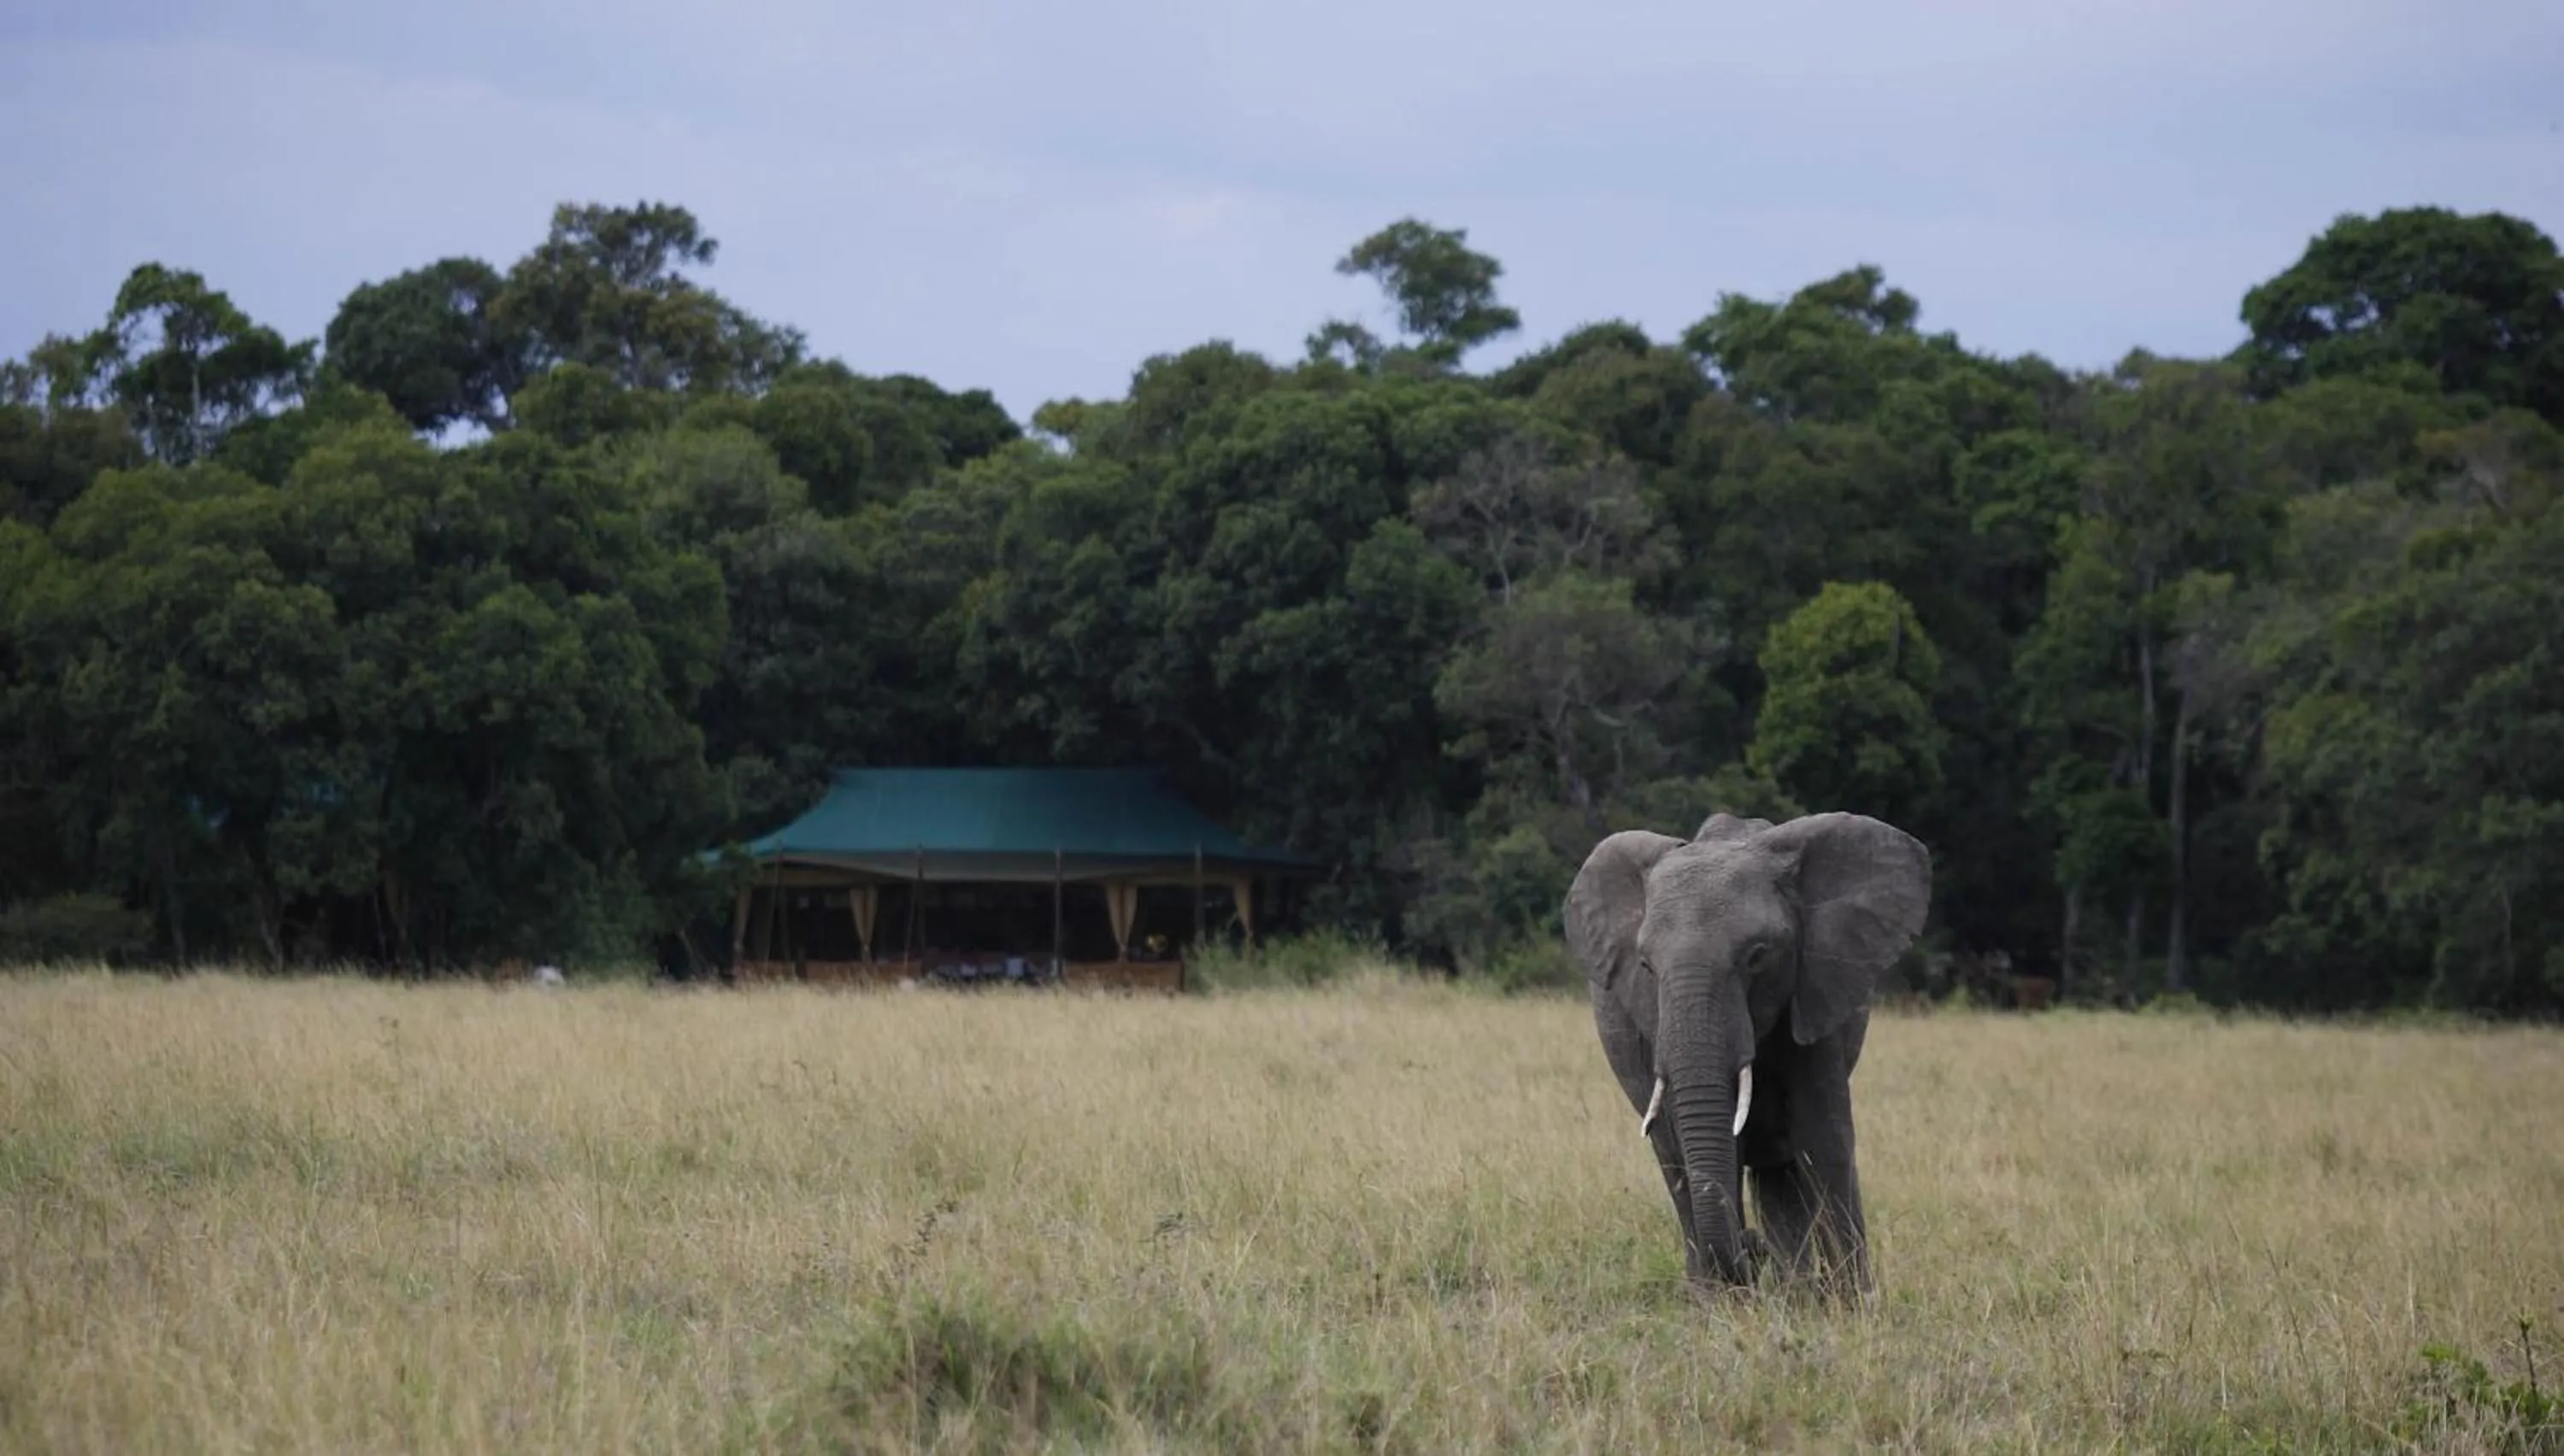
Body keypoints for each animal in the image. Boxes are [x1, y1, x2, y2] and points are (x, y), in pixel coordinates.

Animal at [1564, 809, 1931, 1300]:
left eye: (1757, 957)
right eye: (1645, 966)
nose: (1751, 1247)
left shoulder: (1815, 987)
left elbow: (1822, 1137)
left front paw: (1853, 1304)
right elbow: (1714, 1142)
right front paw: (1731, 1301)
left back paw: (1796, 1292)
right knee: (1676, 1159)